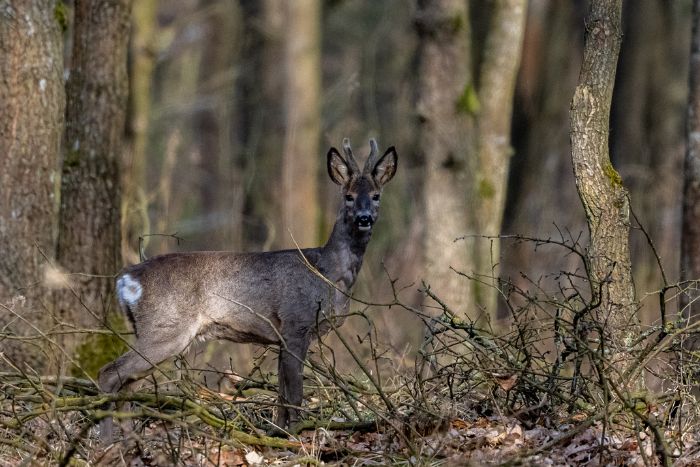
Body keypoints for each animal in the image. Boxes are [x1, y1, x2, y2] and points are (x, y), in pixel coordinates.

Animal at [95, 137, 396, 440]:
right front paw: (294, 436)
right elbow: (295, 394)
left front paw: (278, 432)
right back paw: (107, 442)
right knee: (109, 374)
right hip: (165, 328)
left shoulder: (281, 338)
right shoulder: (296, 325)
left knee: (128, 385)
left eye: (376, 195)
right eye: (348, 196)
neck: (328, 274)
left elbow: (282, 397)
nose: (364, 218)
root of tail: (127, 279)